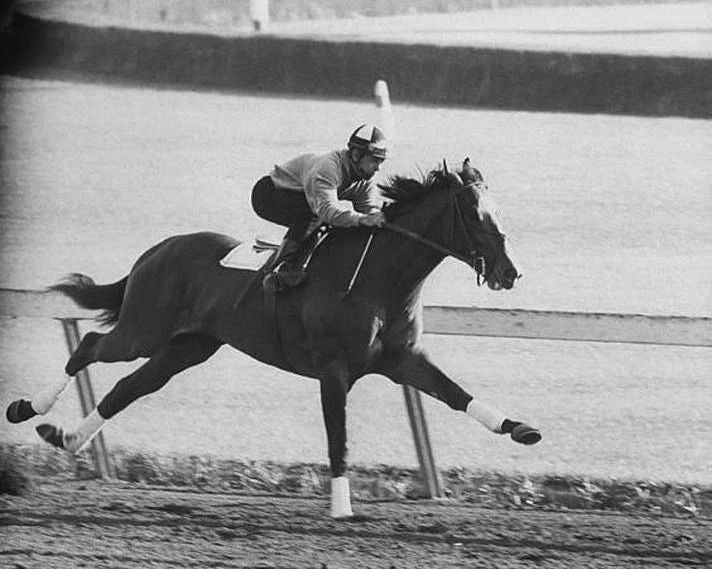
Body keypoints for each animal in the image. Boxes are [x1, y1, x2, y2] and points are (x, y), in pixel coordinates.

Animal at [6, 158, 540, 518]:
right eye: (474, 213)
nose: (510, 272)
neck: (377, 278)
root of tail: (157, 250)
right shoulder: (333, 368)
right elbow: (338, 437)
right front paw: (342, 508)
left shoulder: (401, 358)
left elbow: (456, 394)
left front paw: (519, 428)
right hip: (143, 330)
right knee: (90, 349)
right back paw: (28, 409)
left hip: (187, 346)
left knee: (127, 389)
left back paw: (66, 437)